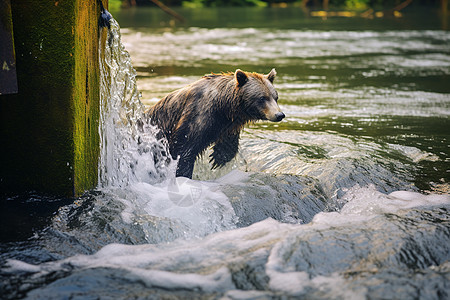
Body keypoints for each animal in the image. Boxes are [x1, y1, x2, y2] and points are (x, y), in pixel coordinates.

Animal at [146, 68, 284, 178]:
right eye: (262, 98)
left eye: (275, 97)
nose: (279, 115)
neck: (223, 106)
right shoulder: (198, 114)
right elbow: (184, 148)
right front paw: (182, 173)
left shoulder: (227, 125)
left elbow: (227, 145)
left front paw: (218, 159)